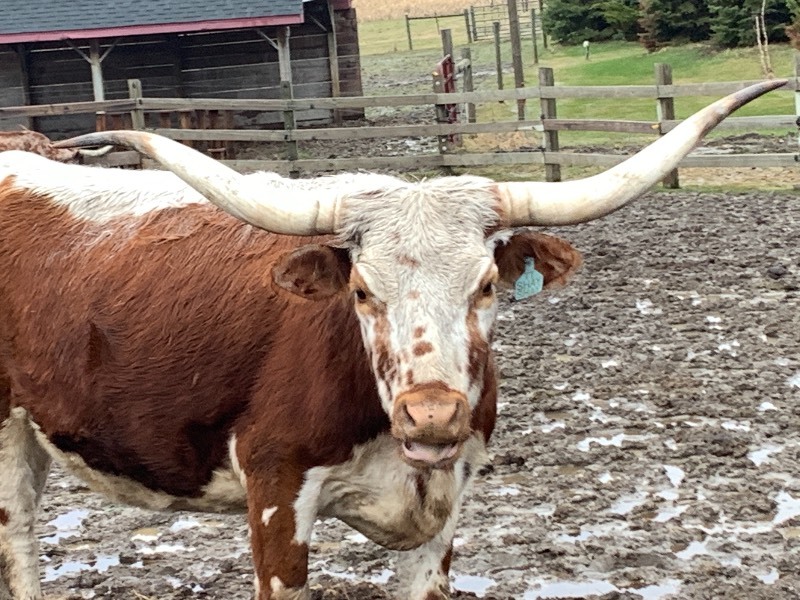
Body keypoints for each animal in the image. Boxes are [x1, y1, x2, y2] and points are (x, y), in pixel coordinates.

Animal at [0, 79, 784, 600]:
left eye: (486, 286)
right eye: (361, 291)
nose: (431, 415)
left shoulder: (444, 512)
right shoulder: (276, 498)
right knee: (20, 544)